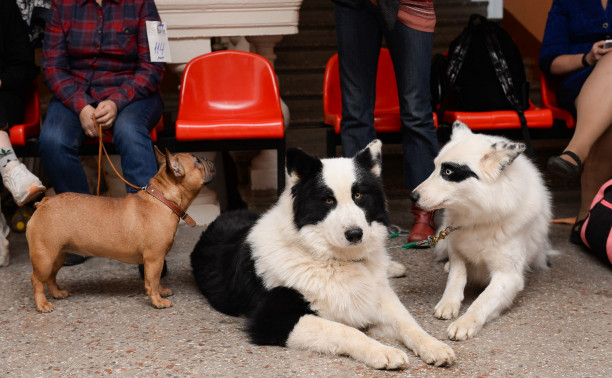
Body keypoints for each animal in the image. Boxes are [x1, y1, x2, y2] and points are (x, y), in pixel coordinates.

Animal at [27, 146, 216, 312]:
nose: (206, 157)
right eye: (197, 161)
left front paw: (162, 291)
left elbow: (156, 280)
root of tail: (45, 202)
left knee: (50, 277)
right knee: (37, 279)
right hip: (45, 257)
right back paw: (42, 304)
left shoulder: (157, 260)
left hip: (58, 255)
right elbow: (152, 282)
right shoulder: (154, 258)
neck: (163, 199)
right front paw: (158, 301)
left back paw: (57, 293)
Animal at [191, 140, 454, 368]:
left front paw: (434, 345)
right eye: (328, 200)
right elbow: (345, 329)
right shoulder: (272, 320)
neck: (330, 259)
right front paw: (384, 352)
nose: (355, 234)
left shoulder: (379, 298)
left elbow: (408, 323)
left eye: (358, 195)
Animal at [412, 122, 556, 342]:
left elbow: (483, 299)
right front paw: (448, 302)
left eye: (448, 171)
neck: (479, 218)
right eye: (435, 167)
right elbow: (456, 276)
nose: (412, 196)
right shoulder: (456, 250)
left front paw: (464, 322)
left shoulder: (508, 276)